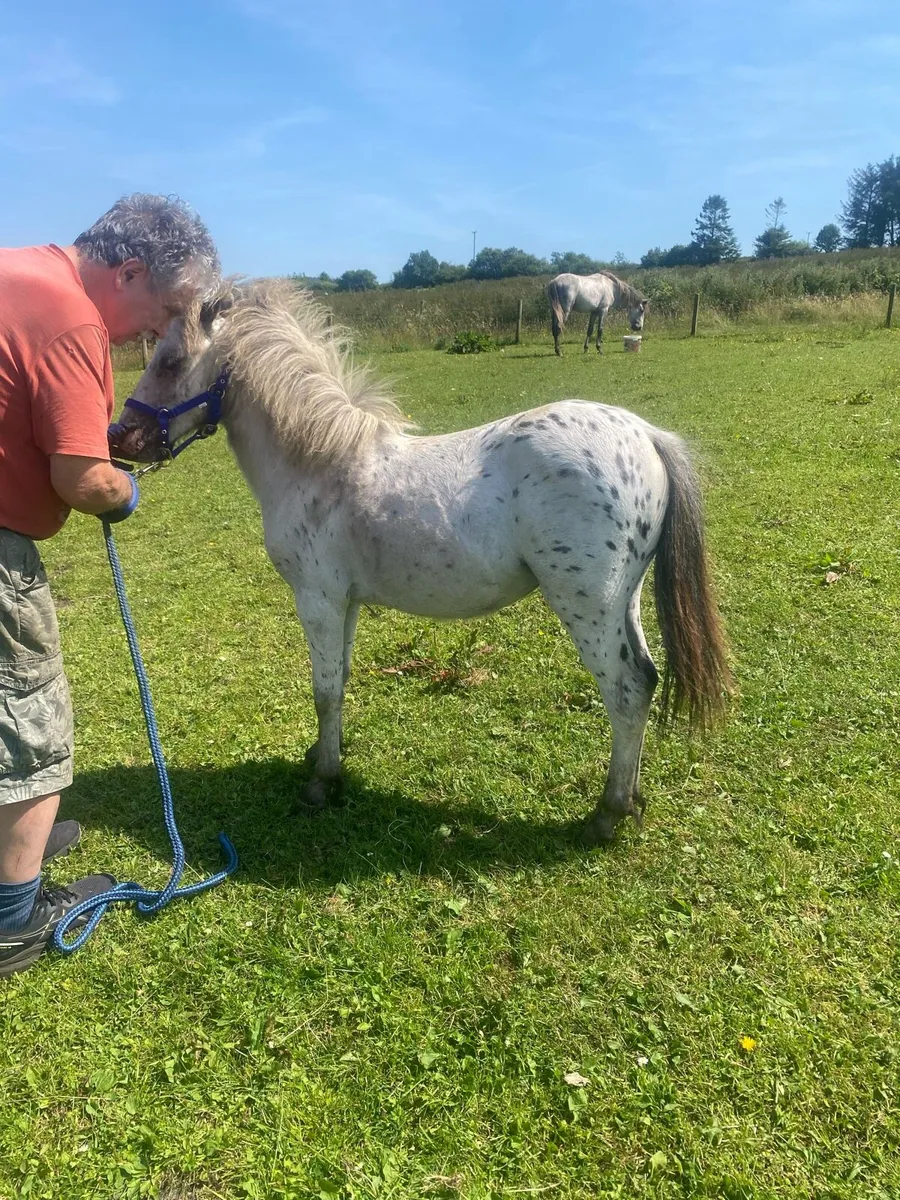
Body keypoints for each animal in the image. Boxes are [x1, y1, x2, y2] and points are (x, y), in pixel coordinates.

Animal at [109, 280, 731, 845]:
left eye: (170, 359)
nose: (120, 436)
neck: (320, 462)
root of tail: (645, 435)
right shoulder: (346, 603)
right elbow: (340, 680)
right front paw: (325, 754)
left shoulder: (318, 599)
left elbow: (324, 689)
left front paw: (321, 783)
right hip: (623, 599)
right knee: (646, 680)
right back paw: (632, 799)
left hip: (588, 607)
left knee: (626, 690)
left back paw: (606, 813)